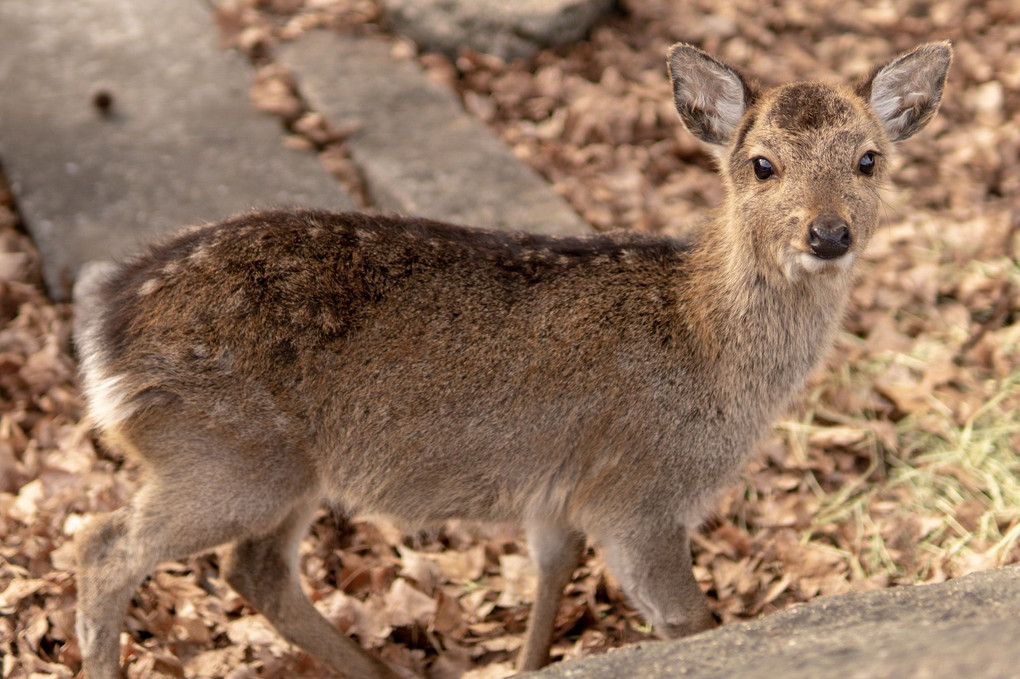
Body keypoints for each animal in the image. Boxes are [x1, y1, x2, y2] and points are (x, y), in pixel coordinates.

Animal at [71, 42, 946, 676]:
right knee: (104, 545)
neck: (710, 352)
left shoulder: (561, 489)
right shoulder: (641, 489)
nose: (828, 233)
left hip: (278, 469)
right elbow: (690, 621)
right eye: (762, 163)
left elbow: (551, 576)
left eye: (869, 159)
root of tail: (105, 326)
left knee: (254, 570)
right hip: (228, 453)